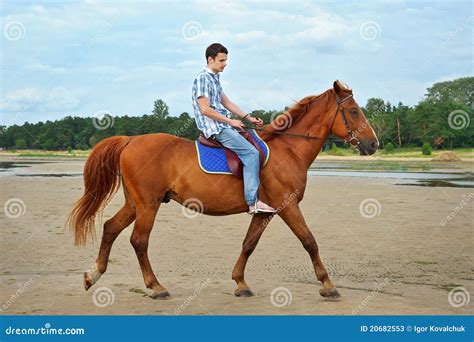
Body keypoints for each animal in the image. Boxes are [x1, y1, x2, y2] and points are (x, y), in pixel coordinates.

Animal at [67, 80, 378, 300]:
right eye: (353, 111)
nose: (373, 143)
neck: (288, 149)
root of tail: (130, 140)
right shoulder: (288, 205)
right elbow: (309, 241)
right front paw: (327, 284)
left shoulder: (265, 211)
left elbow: (248, 244)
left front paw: (240, 283)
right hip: (148, 204)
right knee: (139, 241)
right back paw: (155, 287)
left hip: (135, 203)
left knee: (110, 228)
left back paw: (92, 275)